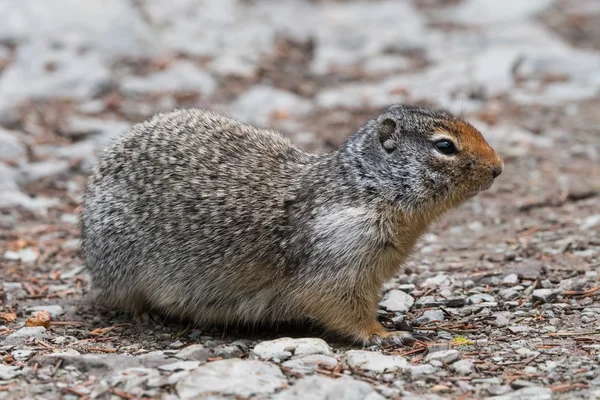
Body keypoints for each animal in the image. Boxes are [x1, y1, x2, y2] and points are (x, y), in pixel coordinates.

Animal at [79, 104, 502, 346]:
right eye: (444, 146)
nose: (498, 168)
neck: (371, 188)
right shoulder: (340, 257)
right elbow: (342, 306)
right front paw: (385, 335)